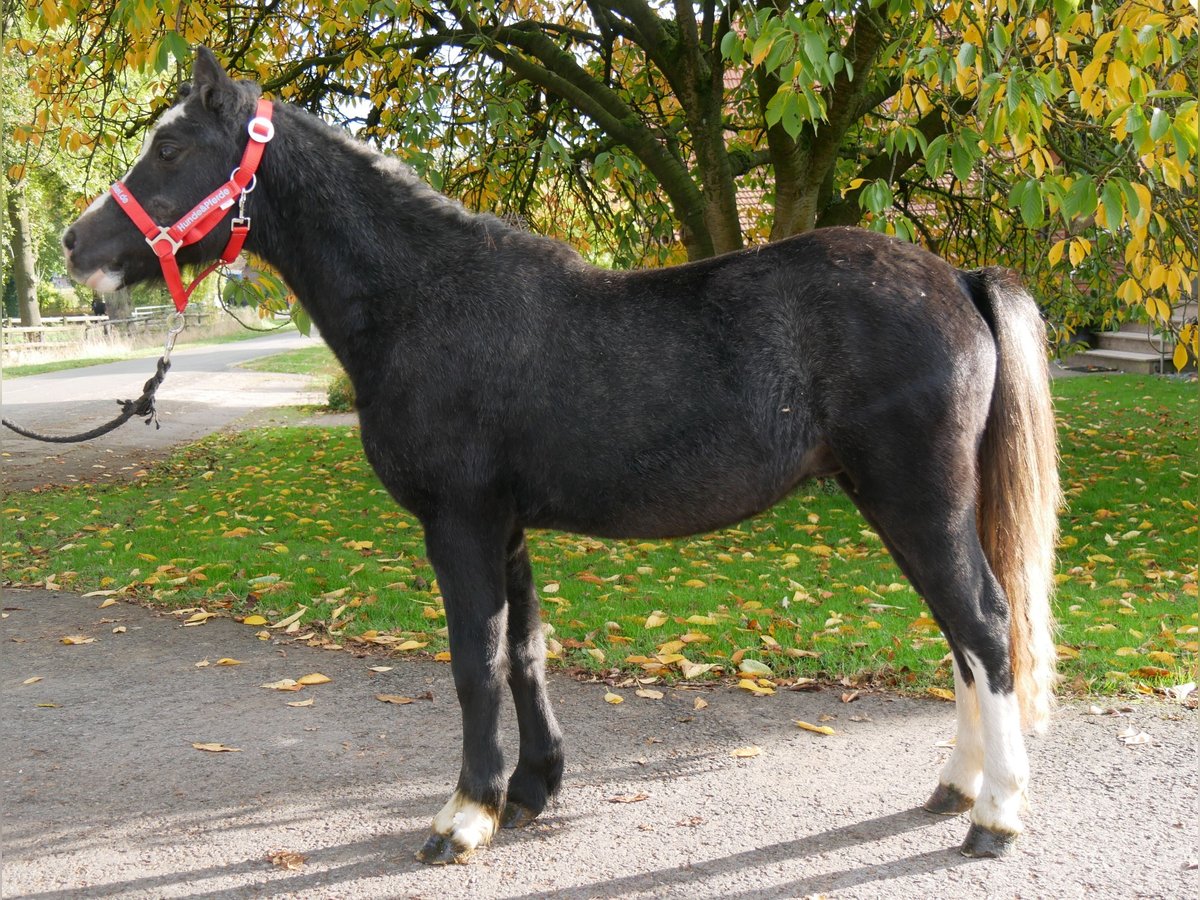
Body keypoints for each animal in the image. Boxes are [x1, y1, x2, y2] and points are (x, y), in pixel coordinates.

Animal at [65, 49, 1060, 868]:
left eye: (169, 148)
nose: (78, 244)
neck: (424, 299)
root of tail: (958, 278)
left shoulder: (460, 523)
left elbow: (474, 662)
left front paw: (464, 816)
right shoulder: (505, 526)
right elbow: (525, 652)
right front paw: (531, 790)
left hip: (917, 501)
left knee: (982, 625)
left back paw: (998, 815)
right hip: (895, 501)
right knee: (962, 636)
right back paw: (958, 786)